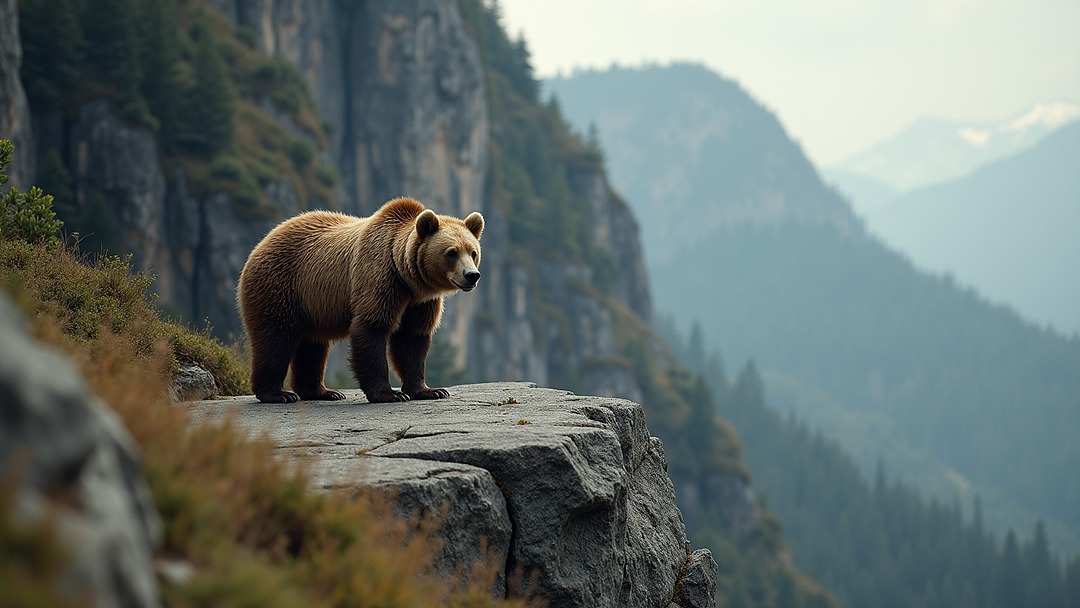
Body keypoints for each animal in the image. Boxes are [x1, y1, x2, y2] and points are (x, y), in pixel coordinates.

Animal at [237, 197, 483, 404]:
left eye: (473, 252)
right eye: (451, 252)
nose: (472, 275)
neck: (407, 275)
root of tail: (261, 243)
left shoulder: (420, 302)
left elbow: (412, 338)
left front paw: (430, 390)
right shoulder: (379, 277)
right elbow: (372, 327)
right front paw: (389, 394)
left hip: (312, 303)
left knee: (313, 345)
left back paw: (323, 392)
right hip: (280, 286)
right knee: (276, 338)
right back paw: (278, 393)